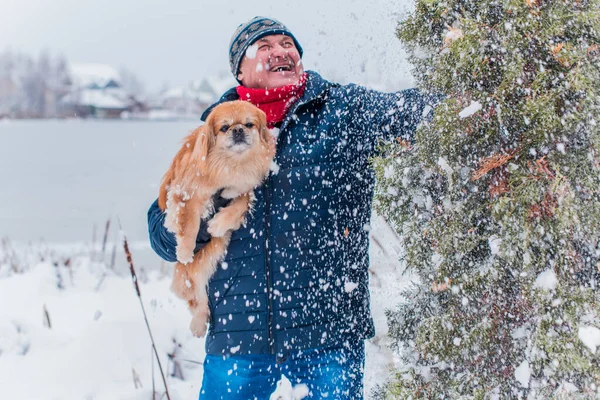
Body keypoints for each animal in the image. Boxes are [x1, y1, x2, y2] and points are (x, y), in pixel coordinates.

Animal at [156, 101, 276, 338]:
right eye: (224, 127)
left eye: (249, 124)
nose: (238, 130)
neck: (232, 164)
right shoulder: (186, 193)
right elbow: (190, 224)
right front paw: (184, 250)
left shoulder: (246, 189)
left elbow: (238, 203)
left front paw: (218, 224)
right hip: (193, 272)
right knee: (198, 299)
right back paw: (198, 324)